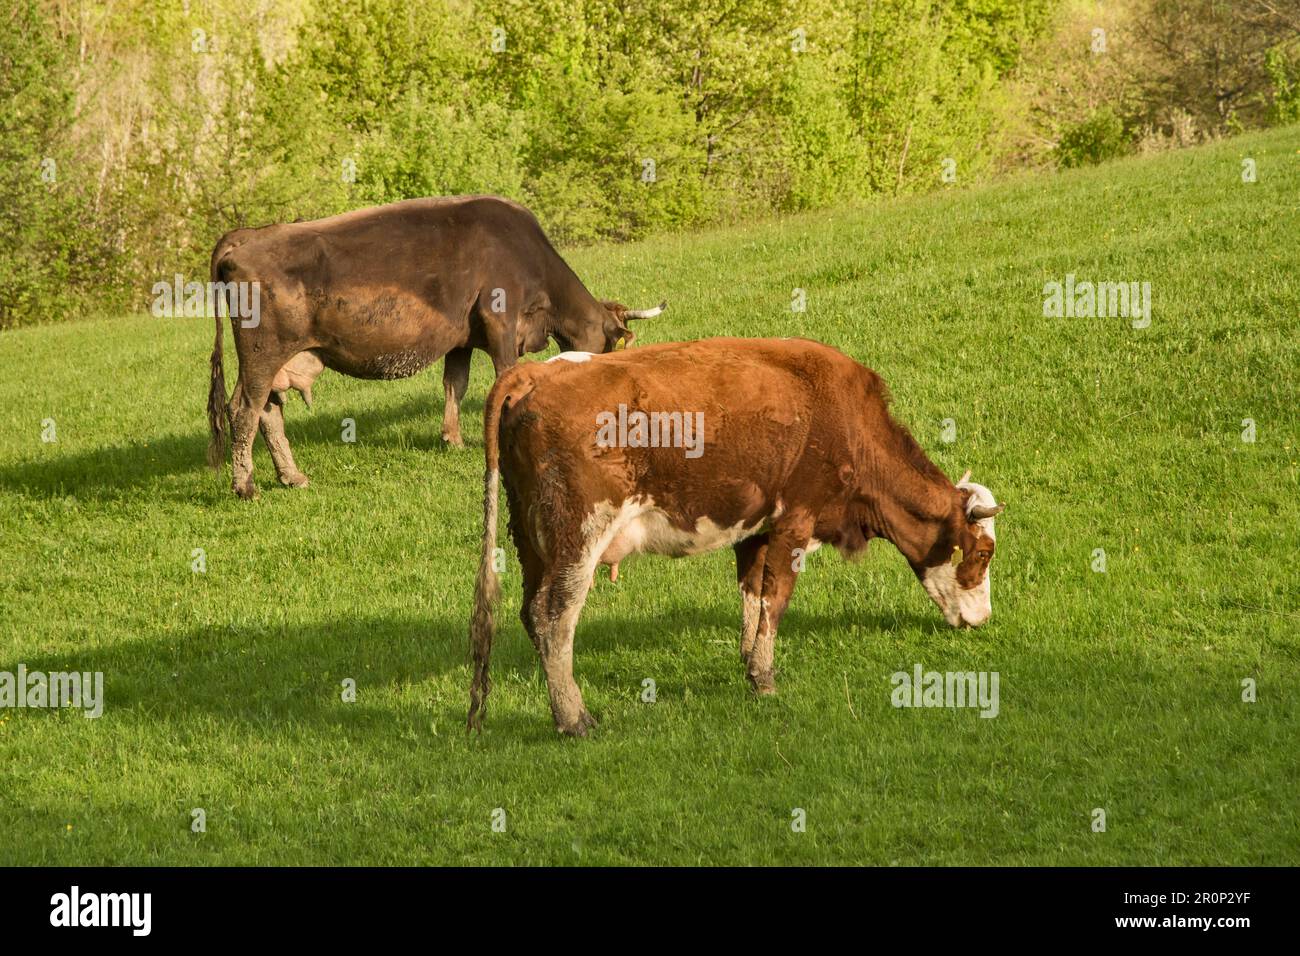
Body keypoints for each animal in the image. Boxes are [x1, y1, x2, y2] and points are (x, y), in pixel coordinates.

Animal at [205, 195, 666, 498]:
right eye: (610, 345)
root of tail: (246, 235)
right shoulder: (501, 321)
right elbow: (504, 377)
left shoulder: (461, 337)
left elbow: (454, 385)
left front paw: (452, 439)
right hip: (262, 353)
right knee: (244, 410)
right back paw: (246, 486)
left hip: (273, 361)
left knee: (268, 411)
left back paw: (291, 476)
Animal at [466, 337, 1005, 736]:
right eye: (982, 552)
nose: (983, 618)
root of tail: (536, 373)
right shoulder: (795, 521)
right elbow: (776, 601)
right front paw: (765, 679)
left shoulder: (756, 529)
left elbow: (753, 596)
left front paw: (748, 662)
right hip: (579, 533)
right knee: (554, 616)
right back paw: (573, 718)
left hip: (531, 539)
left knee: (529, 612)